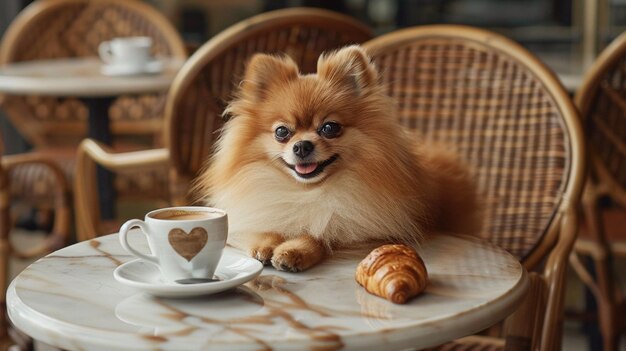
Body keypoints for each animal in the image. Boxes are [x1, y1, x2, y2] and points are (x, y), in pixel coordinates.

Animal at [197, 45, 480, 274]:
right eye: (282, 132)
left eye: (329, 128)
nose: (302, 146)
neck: (306, 192)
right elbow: (266, 224)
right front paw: (265, 244)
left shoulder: (363, 228)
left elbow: (321, 235)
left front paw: (293, 251)